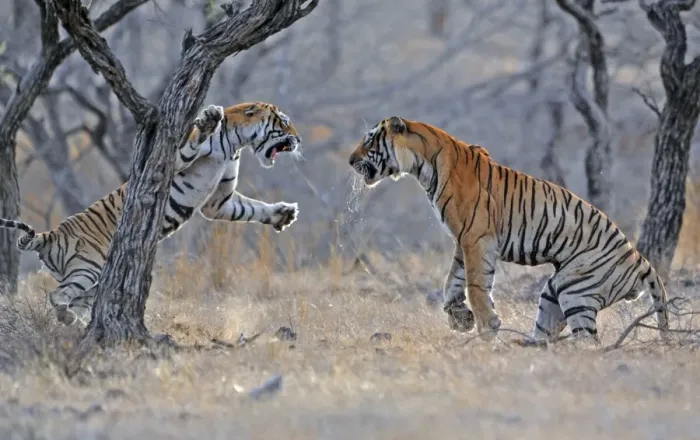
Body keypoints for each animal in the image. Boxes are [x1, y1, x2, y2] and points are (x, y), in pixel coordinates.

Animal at [0, 102, 302, 326]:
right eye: (283, 122)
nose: (298, 139)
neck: (235, 146)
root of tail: (51, 234)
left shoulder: (219, 202)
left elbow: (250, 208)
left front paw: (284, 214)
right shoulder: (174, 160)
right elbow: (194, 142)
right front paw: (209, 118)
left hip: (88, 280)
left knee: (72, 298)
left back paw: (78, 324)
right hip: (87, 267)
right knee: (56, 295)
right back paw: (69, 319)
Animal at [348, 116, 670, 343]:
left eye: (369, 141)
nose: (350, 160)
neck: (423, 165)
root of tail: (642, 261)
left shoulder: (476, 238)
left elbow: (475, 285)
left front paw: (485, 327)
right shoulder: (463, 240)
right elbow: (452, 282)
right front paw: (460, 318)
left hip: (575, 290)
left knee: (589, 343)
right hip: (555, 291)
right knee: (549, 331)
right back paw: (526, 347)